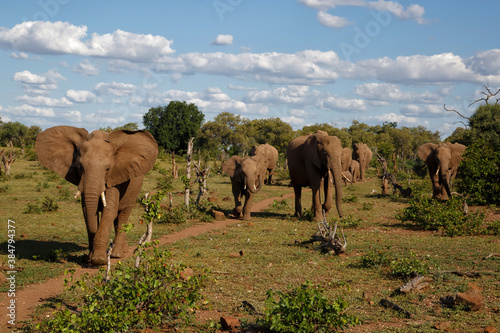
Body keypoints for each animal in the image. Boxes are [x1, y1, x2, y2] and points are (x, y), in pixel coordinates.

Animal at [36, 124, 157, 264]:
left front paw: (98, 260)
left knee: (123, 214)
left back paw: (117, 254)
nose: (90, 256)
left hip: (135, 187)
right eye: (80, 167)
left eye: (108, 169)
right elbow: (86, 211)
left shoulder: (114, 176)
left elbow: (109, 210)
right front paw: (90, 258)